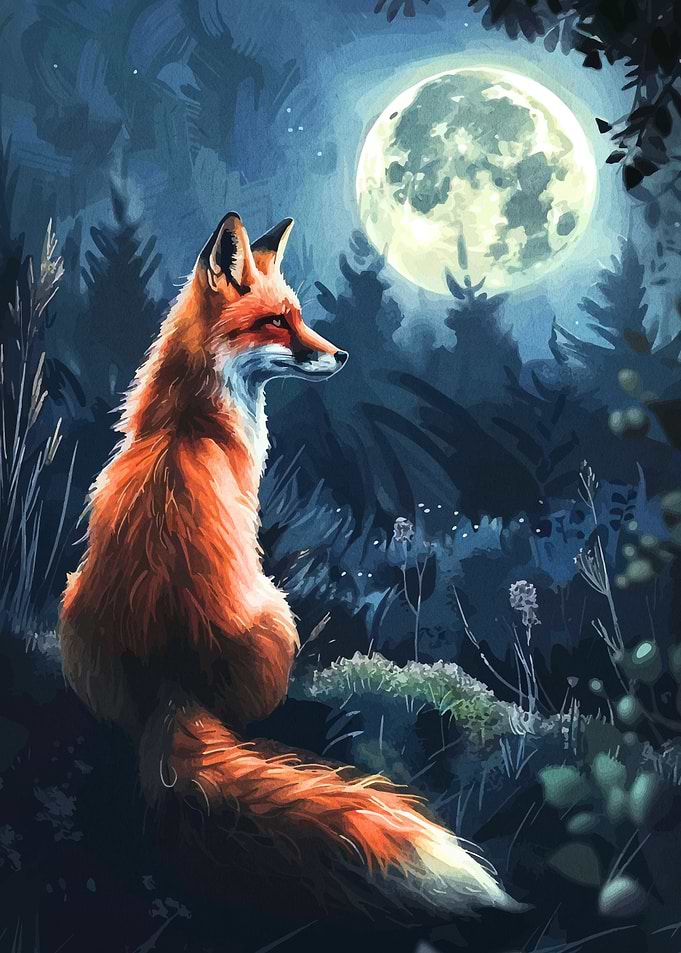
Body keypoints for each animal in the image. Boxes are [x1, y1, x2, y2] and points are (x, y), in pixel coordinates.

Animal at [59, 212, 518, 922]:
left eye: (297, 316)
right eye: (276, 321)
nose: (342, 356)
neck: (187, 422)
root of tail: (173, 679)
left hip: (71, 608)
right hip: (279, 611)